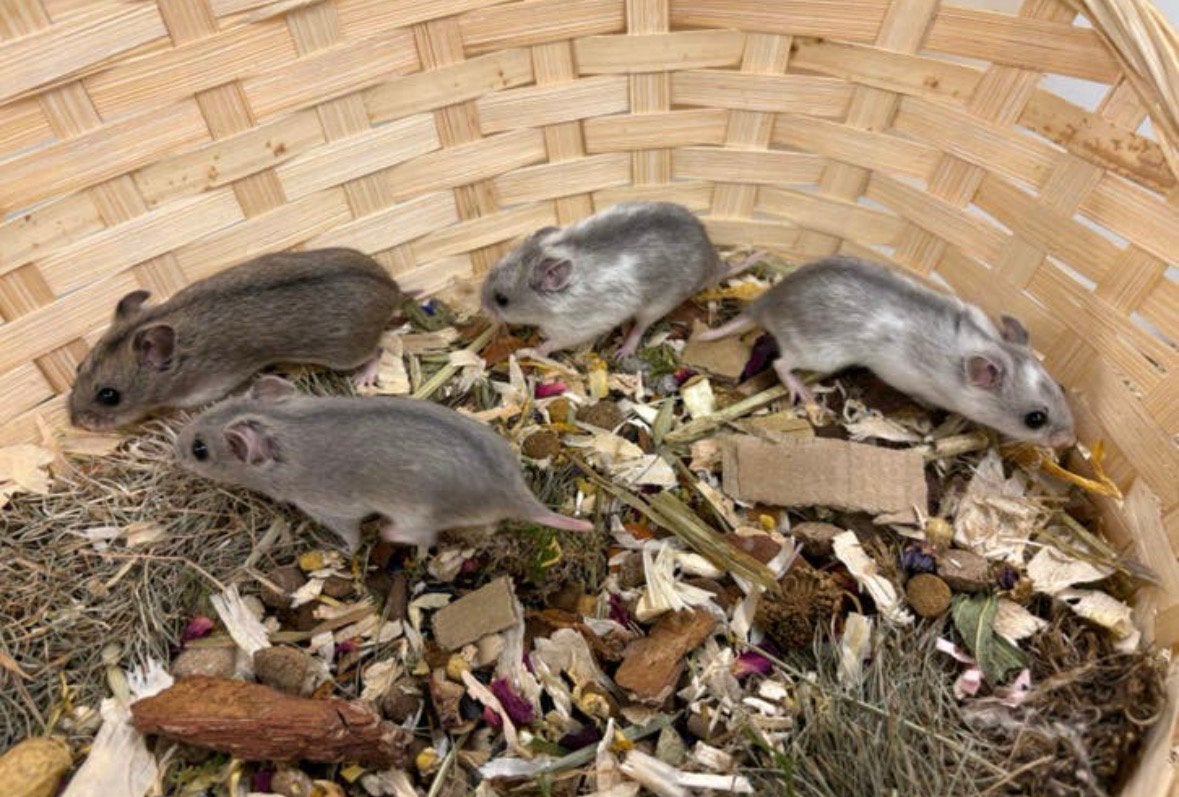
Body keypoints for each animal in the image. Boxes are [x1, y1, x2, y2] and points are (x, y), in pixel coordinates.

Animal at [70, 248, 403, 431]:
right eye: (78, 367)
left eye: (109, 396)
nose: (73, 422)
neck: (181, 361)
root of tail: (392, 288)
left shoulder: (206, 390)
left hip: (347, 353)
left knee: (377, 350)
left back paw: (363, 379)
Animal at [174, 376, 593, 551]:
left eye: (200, 449)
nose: (174, 450)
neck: (285, 431)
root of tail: (517, 496)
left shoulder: (332, 512)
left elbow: (352, 539)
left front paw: (343, 552)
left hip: (417, 514)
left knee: (421, 538)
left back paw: (387, 533)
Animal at [480, 201, 738, 357]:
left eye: (502, 299)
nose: (482, 307)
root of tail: (713, 261)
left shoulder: (574, 327)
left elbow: (552, 343)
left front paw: (530, 352)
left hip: (657, 305)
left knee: (640, 327)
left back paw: (624, 351)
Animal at [697, 255, 1076, 448]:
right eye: (1035, 419)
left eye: (1061, 388)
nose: (1070, 443)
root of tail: (765, 303)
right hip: (819, 353)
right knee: (780, 363)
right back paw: (803, 392)